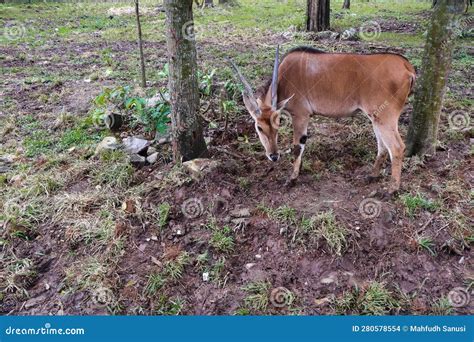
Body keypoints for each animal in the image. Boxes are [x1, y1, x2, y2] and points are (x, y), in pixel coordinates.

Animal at [230, 46, 414, 195]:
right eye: (259, 127)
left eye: (277, 124)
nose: (274, 156)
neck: (285, 77)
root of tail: (407, 66)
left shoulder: (301, 115)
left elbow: (297, 147)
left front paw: (292, 179)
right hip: (376, 117)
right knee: (382, 146)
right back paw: (372, 175)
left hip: (385, 118)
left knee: (397, 147)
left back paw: (391, 190)